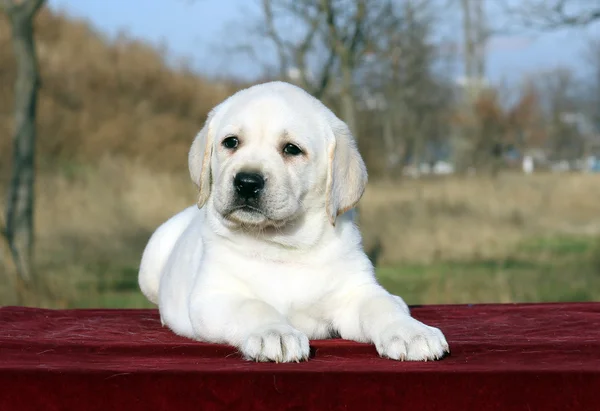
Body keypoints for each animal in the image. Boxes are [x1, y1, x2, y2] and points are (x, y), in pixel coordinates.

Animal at [138, 81, 448, 364]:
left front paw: (412, 332)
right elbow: (253, 306)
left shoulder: (354, 292)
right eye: (231, 142)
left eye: (291, 149)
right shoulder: (214, 297)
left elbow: (382, 305)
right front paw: (274, 334)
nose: (246, 182)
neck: (281, 243)